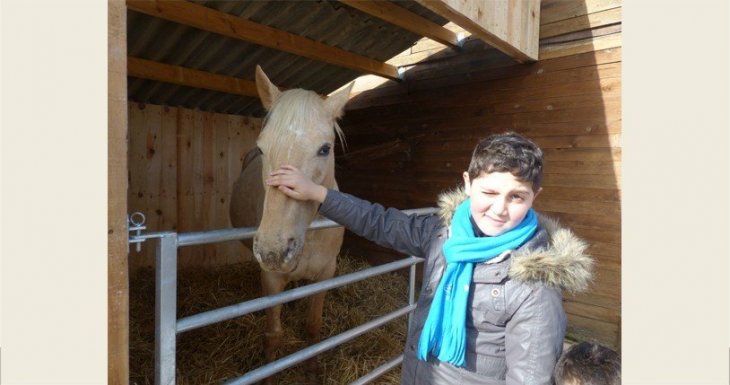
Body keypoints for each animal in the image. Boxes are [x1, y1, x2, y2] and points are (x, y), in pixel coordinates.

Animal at [229, 66, 352, 380]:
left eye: (325, 149)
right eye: (262, 149)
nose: (273, 250)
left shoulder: (325, 275)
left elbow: (313, 327)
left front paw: (312, 372)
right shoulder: (271, 278)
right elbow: (273, 335)